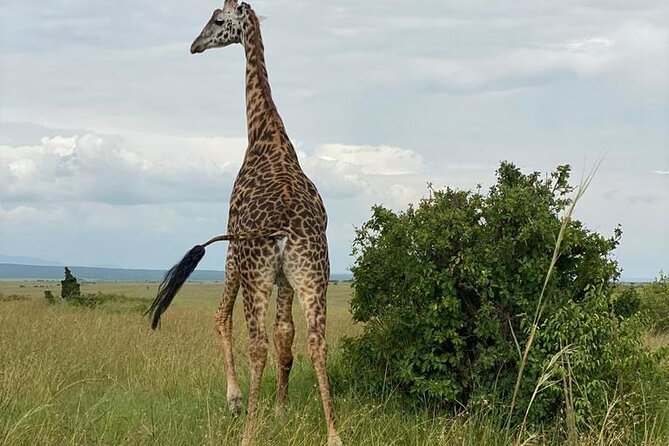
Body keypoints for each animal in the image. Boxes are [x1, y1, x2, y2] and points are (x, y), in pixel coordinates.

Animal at [145, 1, 342, 445]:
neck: (265, 133)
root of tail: (284, 232)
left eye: (218, 20)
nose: (194, 45)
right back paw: (333, 433)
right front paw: (282, 411)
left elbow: (224, 319)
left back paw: (248, 430)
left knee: (255, 342)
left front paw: (237, 401)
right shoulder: (286, 278)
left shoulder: (234, 244)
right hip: (312, 274)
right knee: (316, 340)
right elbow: (287, 335)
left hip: (253, 271)